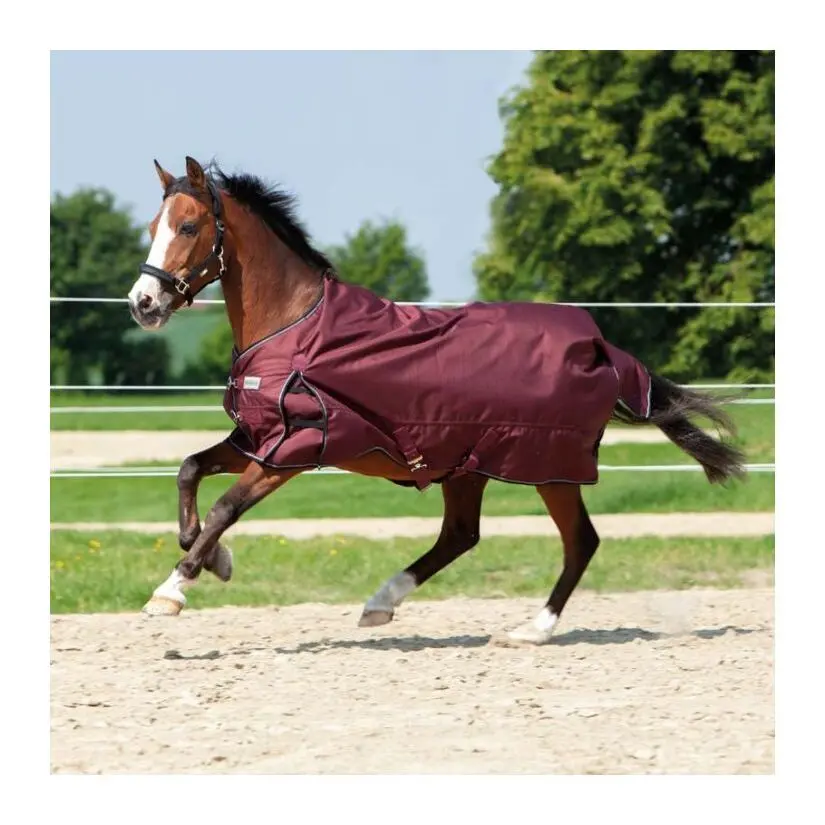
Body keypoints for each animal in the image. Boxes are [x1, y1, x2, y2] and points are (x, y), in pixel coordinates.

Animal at [126, 156, 746, 645]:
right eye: (154, 225)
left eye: (187, 225)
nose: (143, 302)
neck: (294, 325)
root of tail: (600, 346)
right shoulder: (256, 439)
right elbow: (189, 470)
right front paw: (215, 559)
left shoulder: (296, 447)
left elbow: (225, 507)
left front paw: (172, 589)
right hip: (467, 466)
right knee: (461, 536)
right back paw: (382, 604)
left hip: (547, 466)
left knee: (579, 542)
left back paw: (531, 630)